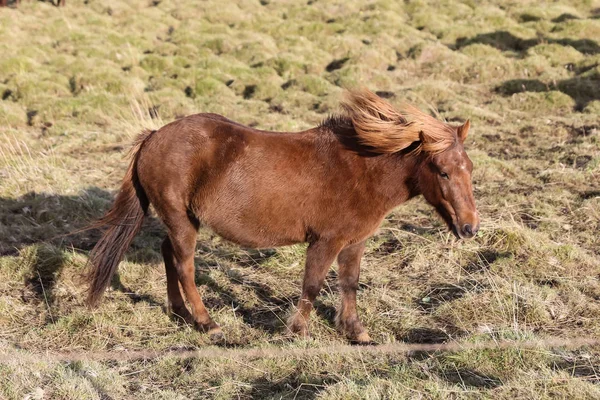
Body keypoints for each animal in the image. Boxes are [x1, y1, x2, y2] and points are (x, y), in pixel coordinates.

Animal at [85, 88, 478, 344]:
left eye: (470, 168)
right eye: (443, 172)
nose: (470, 227)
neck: (361, 168)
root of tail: (154, 137)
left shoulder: (355, 242)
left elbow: (349, 283)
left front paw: (355, 331)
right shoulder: (325, 241)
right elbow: (313, 284)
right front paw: (297, 331)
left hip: (184, 221)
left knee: (169, 255)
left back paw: (180, 313)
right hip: (181, 221)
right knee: (184, 266)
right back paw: (207, 323)